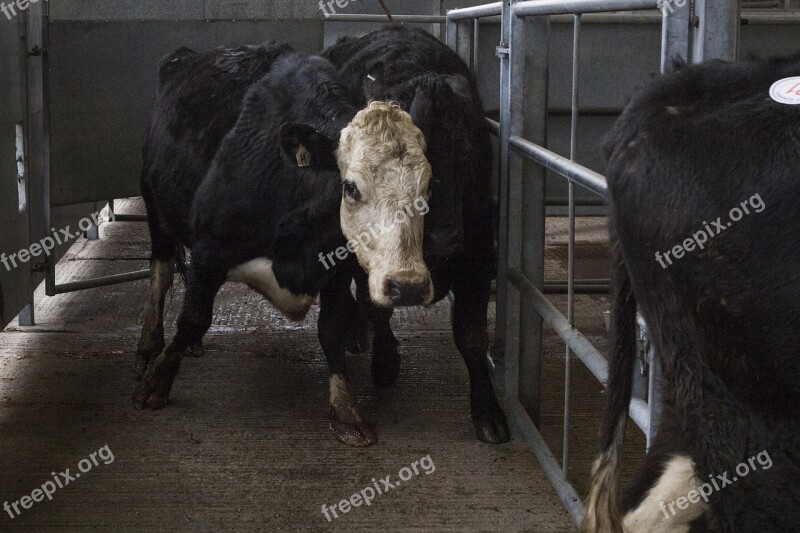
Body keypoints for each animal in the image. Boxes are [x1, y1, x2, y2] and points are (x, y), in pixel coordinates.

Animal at [134, 43, 432, 446]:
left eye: (427, 186)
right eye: (351, 187)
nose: (409, 285)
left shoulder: (336, 266)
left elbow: (331, 329)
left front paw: (345, 408)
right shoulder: (211, 249)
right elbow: (193, 317)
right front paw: (158, 381)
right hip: (154, 207)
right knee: (161, 275)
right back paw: (150, 346)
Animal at [322, 25, 510, 442]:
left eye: (469, 155)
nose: (443, 237)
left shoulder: (478, 255)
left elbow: (471, 336)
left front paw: (488, 409)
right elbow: (376, 306)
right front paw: (385, 362)